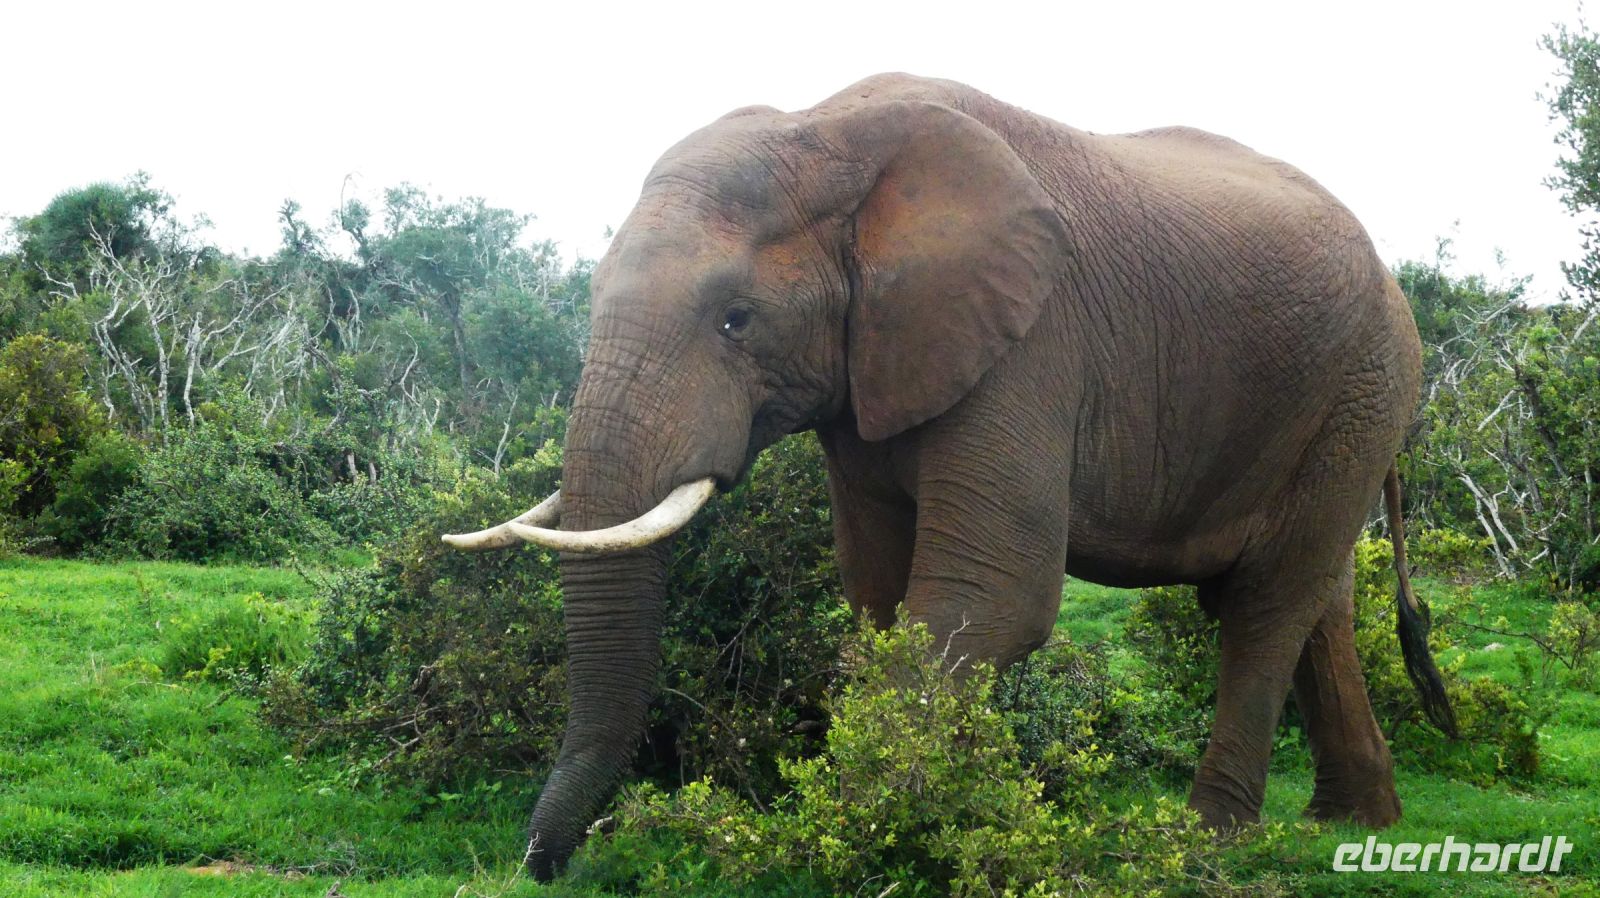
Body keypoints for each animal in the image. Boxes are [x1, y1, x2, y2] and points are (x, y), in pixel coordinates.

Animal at [443, 72, 1457, 879]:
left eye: (736, 320)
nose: (547, 864)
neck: (825, 131)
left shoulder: (1032, 342)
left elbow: (990, 597)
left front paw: (841, 837)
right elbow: (877, 596)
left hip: (1365, 384)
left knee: (1265, 604)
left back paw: (1199, 844)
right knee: (1319, 598)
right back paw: (1354, 823)